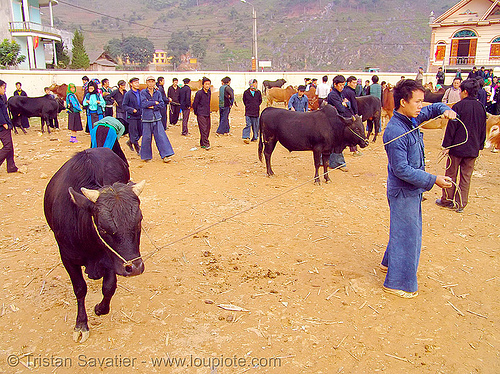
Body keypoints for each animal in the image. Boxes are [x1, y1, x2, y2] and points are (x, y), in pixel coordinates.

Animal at [43, 148, 146, 344]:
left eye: (139, 221)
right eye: (103, 228)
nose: (134, 268)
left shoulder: (111, 259)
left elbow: (109, 287)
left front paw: (100, 308)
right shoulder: (67, 257)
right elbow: (80, 289)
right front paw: (81, 325)